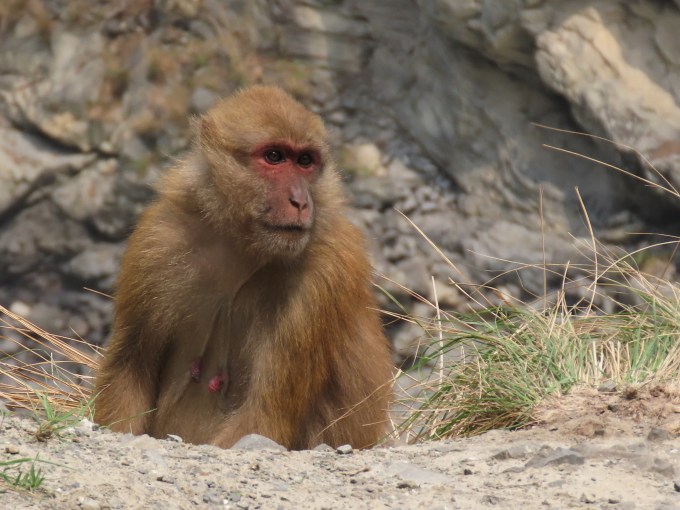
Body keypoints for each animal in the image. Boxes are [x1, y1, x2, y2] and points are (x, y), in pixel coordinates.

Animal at [93, 85, 393, 450]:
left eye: (305, 161)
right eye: (275, 156)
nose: (300, 201)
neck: (242, 248)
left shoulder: (326, 272)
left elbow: (263, 416)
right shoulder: (157, 239)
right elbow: (131, 369)